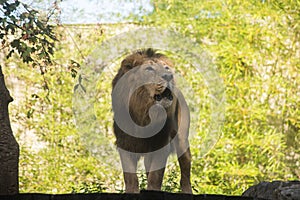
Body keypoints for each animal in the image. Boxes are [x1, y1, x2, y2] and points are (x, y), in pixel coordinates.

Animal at [111, 48, 191, 194]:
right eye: (149, 69)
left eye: (166, 68)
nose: (169, 75)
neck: (144, 114)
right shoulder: (124, 143)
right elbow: (130, 177)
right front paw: (132, 191)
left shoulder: (161, 142)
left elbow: (155, 176)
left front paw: (152, 191)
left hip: (182, 140)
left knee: (185, 171)